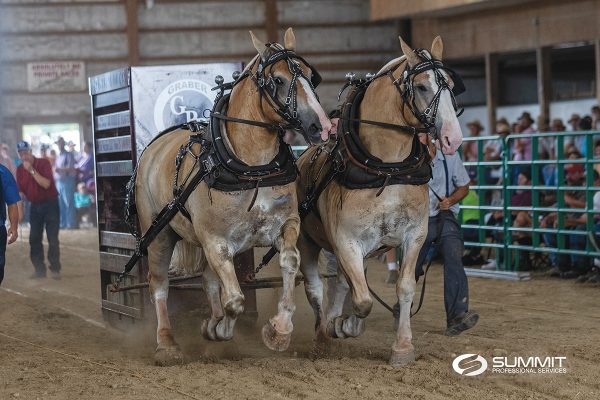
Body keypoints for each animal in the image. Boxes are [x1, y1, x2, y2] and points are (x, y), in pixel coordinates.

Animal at [131, 28, 332, 366]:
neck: (253, 169)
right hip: (159, 235)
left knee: (208, 281)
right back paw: (167, 345)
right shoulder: (216, 240)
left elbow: (289, 262)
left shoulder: (285, 225)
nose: (323, 126)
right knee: (159, 285)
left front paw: (278, 331)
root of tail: (153, 147)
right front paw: (220, 330)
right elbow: (235, 300)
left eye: (310, 76)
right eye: (277, 80)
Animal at [296, 36, 464, 366]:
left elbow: (404, 288)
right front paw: (344, 325)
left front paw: (403, 347)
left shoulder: (414, 236)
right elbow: (362, 298)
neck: (387, 169)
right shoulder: (346, 240)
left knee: (340, 282)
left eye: (450, 83)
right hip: (306, 241)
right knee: (316, 288)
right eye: (421, 86)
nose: (453, 138)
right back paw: (322, 334)